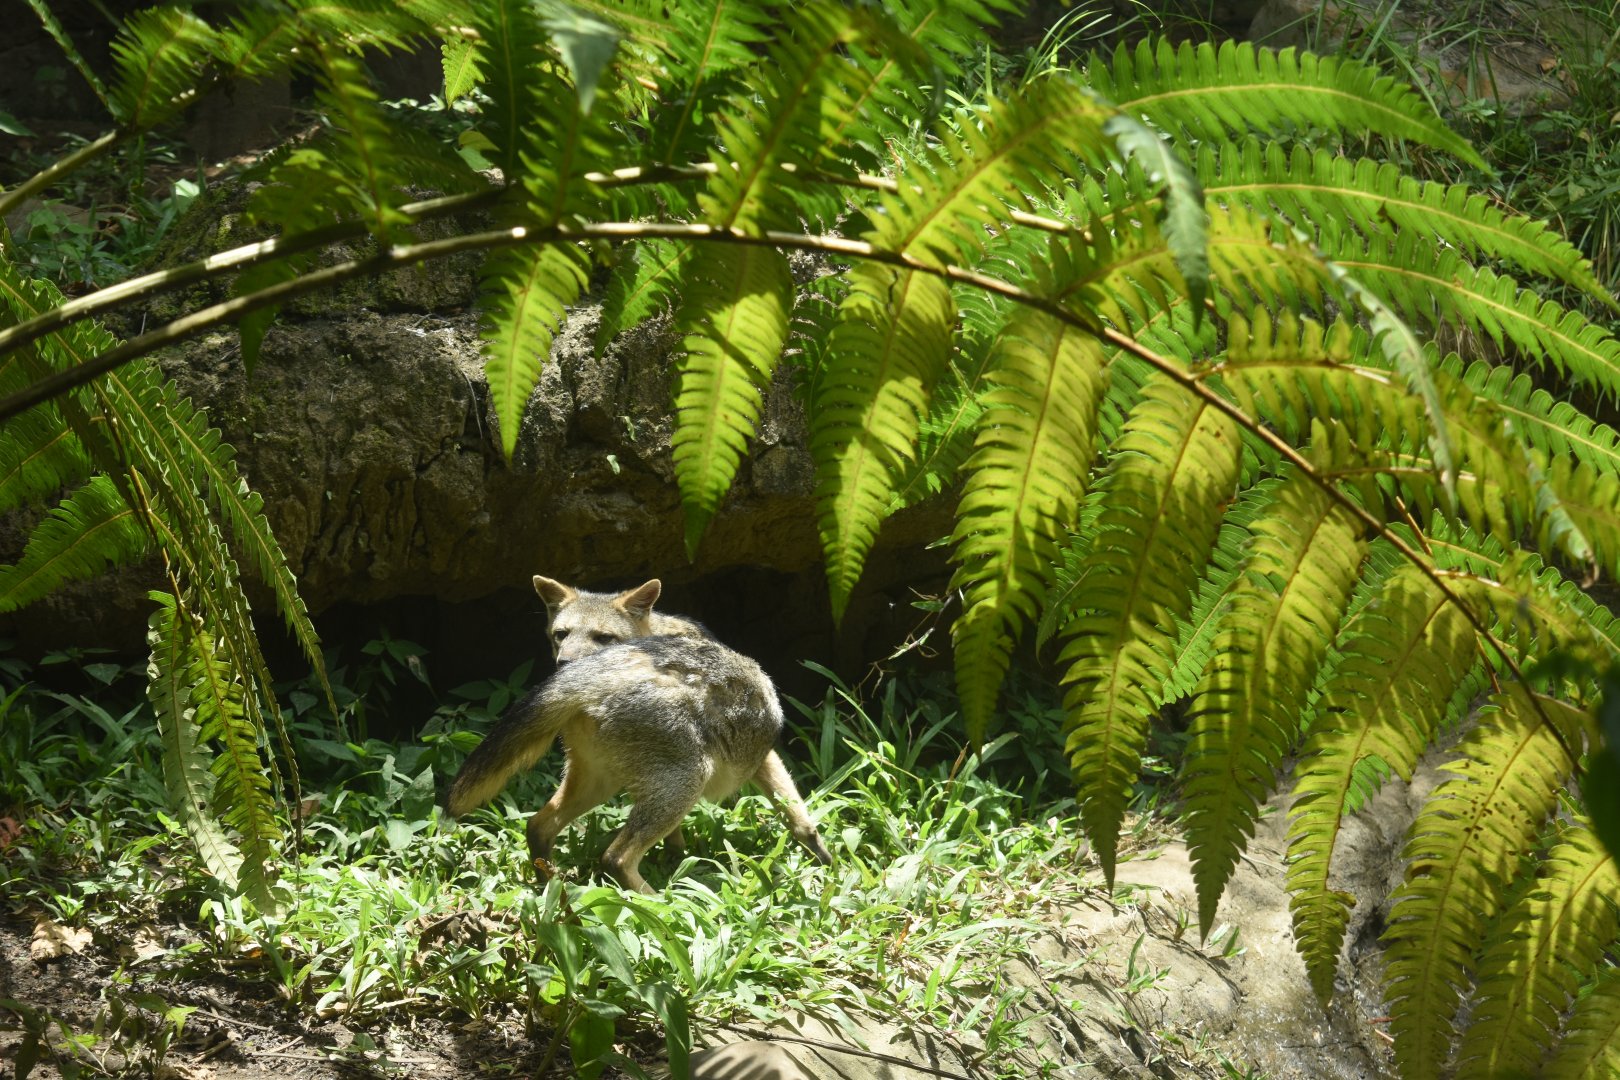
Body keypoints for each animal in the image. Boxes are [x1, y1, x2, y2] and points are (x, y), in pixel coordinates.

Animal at [445, 576, 833, 894]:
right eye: (561, 635)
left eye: (603, 637)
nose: (564, 663)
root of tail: (589, 679)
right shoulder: (762, 755)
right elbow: (797, 814)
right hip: (684, 782)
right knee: (615, 858)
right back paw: (658, 904)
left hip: (600, 784)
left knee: (538, 826)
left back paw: (552, 890)